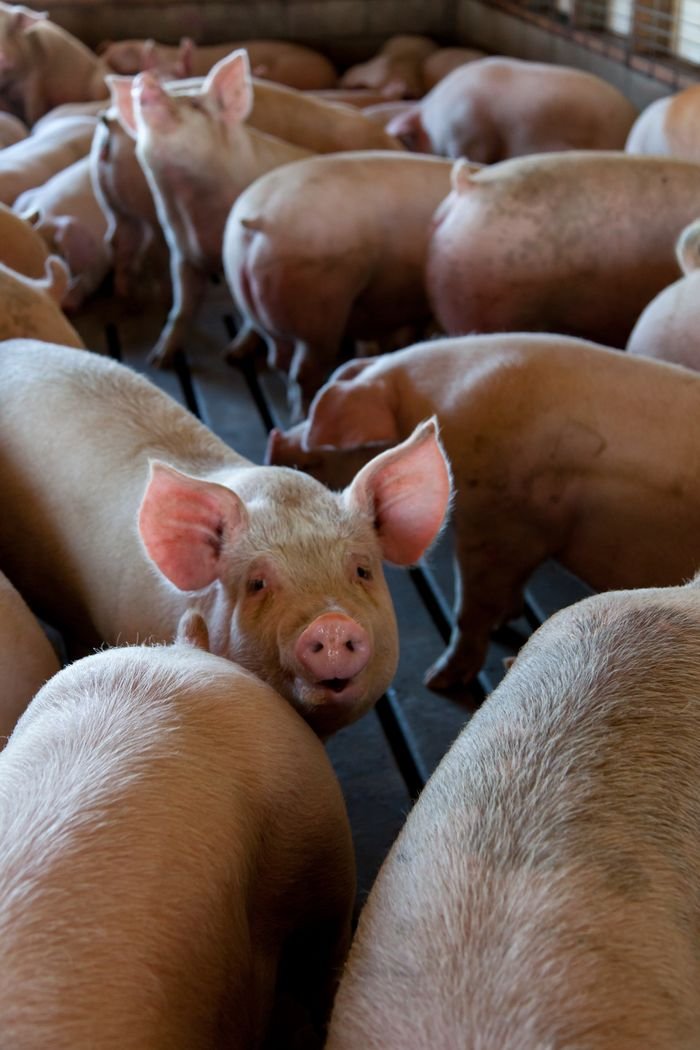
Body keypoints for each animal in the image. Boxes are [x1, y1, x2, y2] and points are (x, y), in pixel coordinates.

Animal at [223, 150, 453, 418]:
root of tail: (259, 221)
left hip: (259, 310)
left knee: (279, 360)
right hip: (319, 313)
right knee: (304, 371)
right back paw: (303, 413)